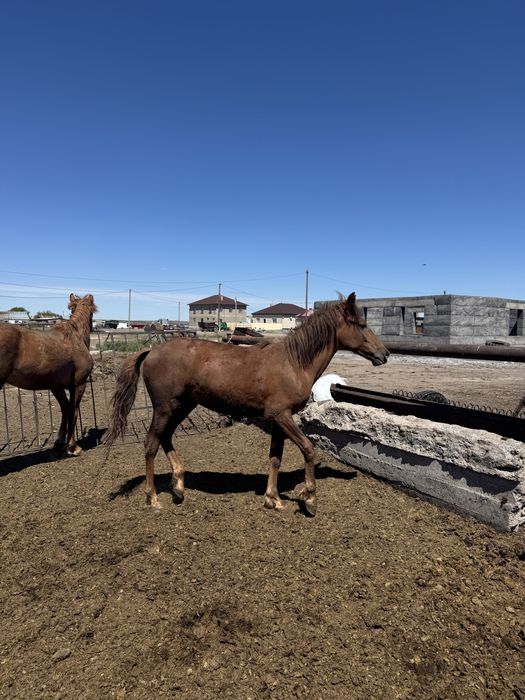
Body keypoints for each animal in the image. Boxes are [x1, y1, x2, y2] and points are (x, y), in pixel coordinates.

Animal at [0, 293, 97, 456]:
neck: (75, 338)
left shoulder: (56, 387)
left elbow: (65, 409)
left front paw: (59, 442)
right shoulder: (79, 384)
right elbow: (73, 411)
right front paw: (72, 447)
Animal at [105, 293, 389, 516]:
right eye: (362, 324)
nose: (384, 354)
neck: (293, 363)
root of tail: (151, 351)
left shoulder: (278, 419)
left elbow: (275, 458)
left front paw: (273, 499)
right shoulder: (283, 416)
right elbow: (308, 449)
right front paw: (309, 498)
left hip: (183, 406)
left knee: (165, 438)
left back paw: (178, 487)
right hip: (165, 407)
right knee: (151, 443)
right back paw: (153, 498)